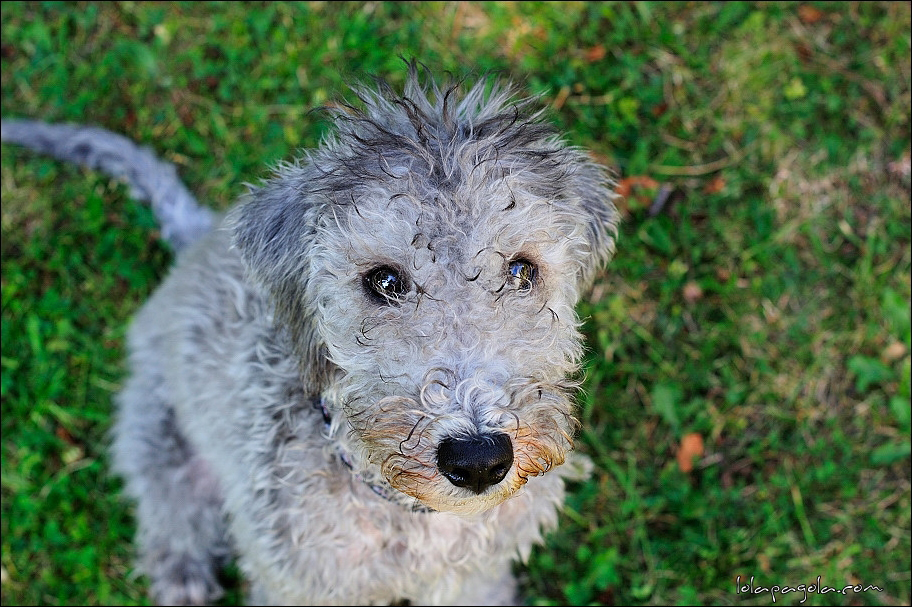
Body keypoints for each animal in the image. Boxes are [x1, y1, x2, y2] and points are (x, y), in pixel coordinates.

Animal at [1, 64, 620, 604]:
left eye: (521, 270)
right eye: (384, 280)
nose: (478, 460)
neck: (408, 510)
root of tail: (197, 241)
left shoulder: (475, 578)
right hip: (159, 442)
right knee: (169, 520)